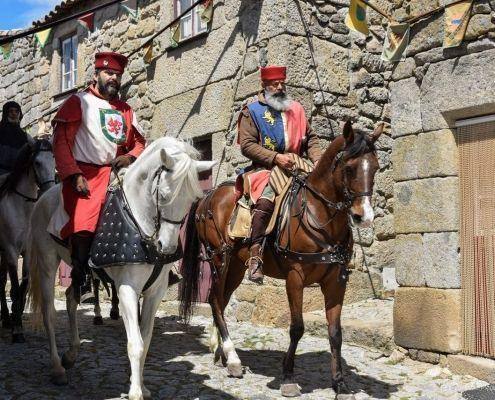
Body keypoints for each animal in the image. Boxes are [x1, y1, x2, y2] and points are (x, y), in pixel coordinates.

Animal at [0, 139, 54, 342]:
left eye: (54, 159)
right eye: (37, 162)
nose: (48, 189)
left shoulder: (28, 253)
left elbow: (23, 286)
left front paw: (17, 320)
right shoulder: (11, 252)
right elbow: (15, 289)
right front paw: (17, 331)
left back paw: (6, 319)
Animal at [28, 136, 215, 398]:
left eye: (191, 200)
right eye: (163, 194)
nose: (166, 248)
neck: (139, 220)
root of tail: (44, 197)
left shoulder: (155, 292)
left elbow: (145, 340)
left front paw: (142, 386)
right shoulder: (127, 289)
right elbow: (135, 343)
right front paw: (136, 391)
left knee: (71, 298)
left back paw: (71, 354)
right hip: (46, 262)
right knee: (49, 314)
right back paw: (56, 367)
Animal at [180, 120, 386, 398]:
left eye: (374, 166)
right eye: (350, 168)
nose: (363, 216)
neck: (319, 215)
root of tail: (208, 195)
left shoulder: (336, 281)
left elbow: (335, 332)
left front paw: (340, 383)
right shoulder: (295, 278)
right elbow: (297, 327)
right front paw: (288, 377)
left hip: (235, 267)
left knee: (220, 302)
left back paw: (219, 350)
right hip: (219, 260)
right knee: (214, 300)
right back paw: (232, 359)